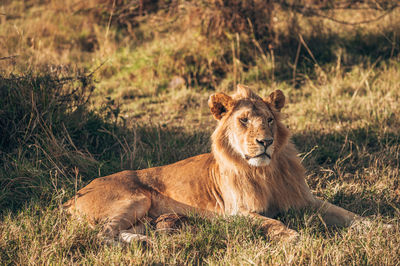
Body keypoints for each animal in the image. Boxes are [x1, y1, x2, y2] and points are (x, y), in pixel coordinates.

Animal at [63, 84, 362, 243]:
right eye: (243, 120)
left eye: (269, 120)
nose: (265, 141)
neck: (264, 172)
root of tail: (74, 195)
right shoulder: (236, 213)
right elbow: (272, 223)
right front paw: (296, 237)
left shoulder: (305, 200)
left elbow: (346, 213)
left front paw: (372, 227)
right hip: (135, 200)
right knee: (103, 234)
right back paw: (139, 244)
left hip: (142, 216)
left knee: (118, 231)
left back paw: (143, 241)